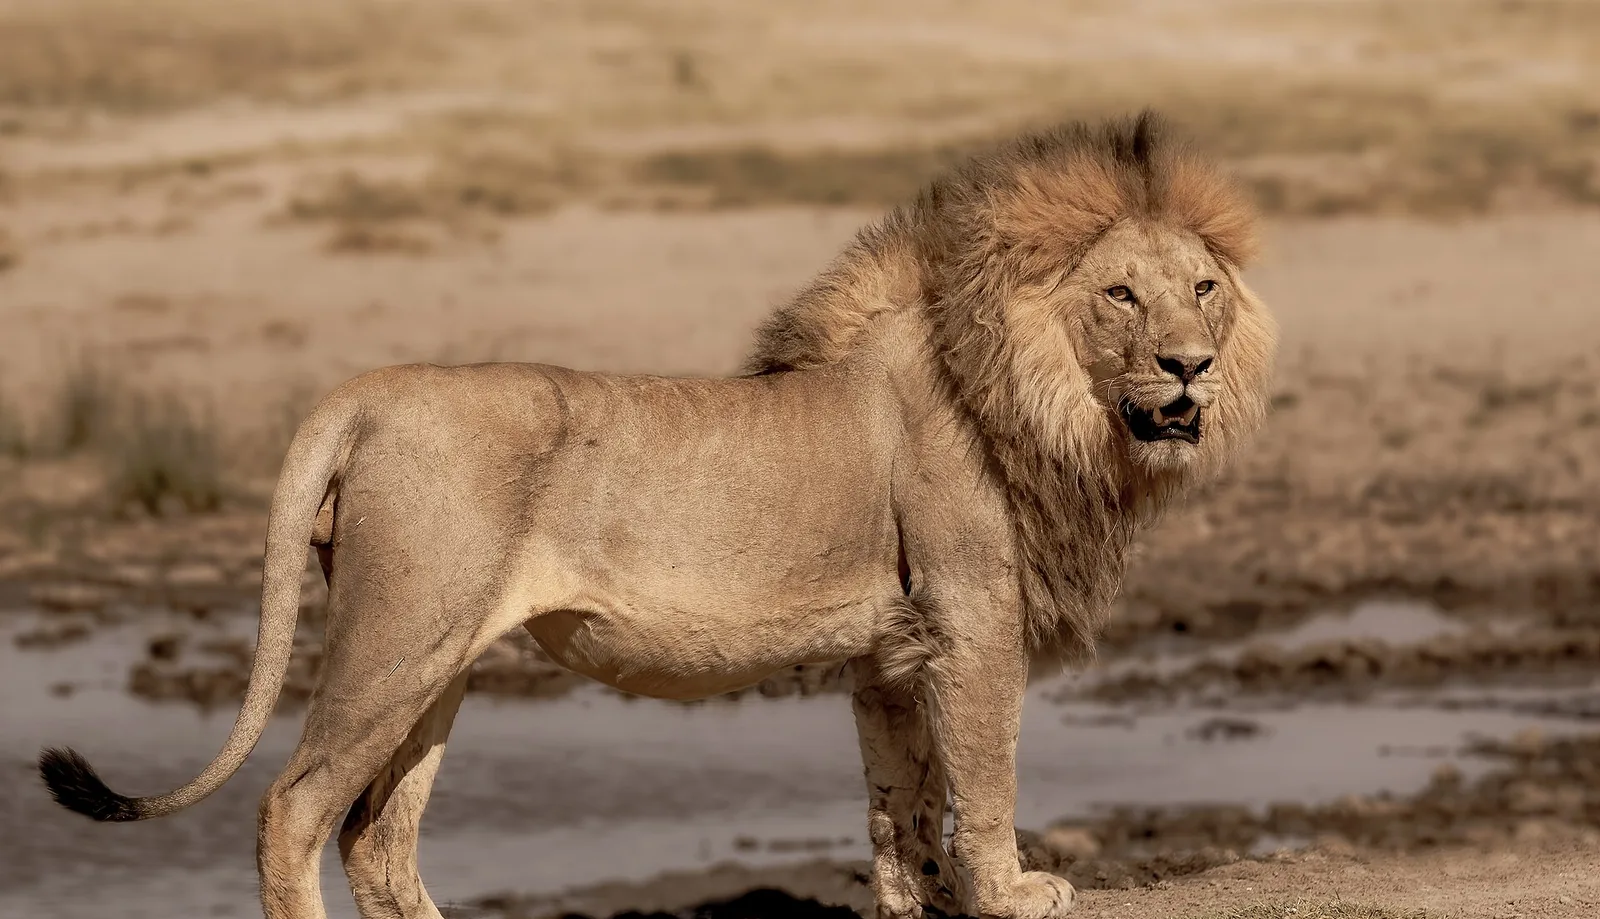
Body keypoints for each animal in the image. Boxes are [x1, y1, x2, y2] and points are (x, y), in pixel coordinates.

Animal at [38, 112, 1275, 919]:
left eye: (1202, 288)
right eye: (1119, 294)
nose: (1190, 366)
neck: (1048, 405)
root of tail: (365, 390)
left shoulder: (892, 651)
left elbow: (900, 796)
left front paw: (914, 899)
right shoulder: (972, 619)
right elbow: (984, 770)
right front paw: (1011, 890)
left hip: (438, 655)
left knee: (377, 836)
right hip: (396, 637)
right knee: (294, 810)